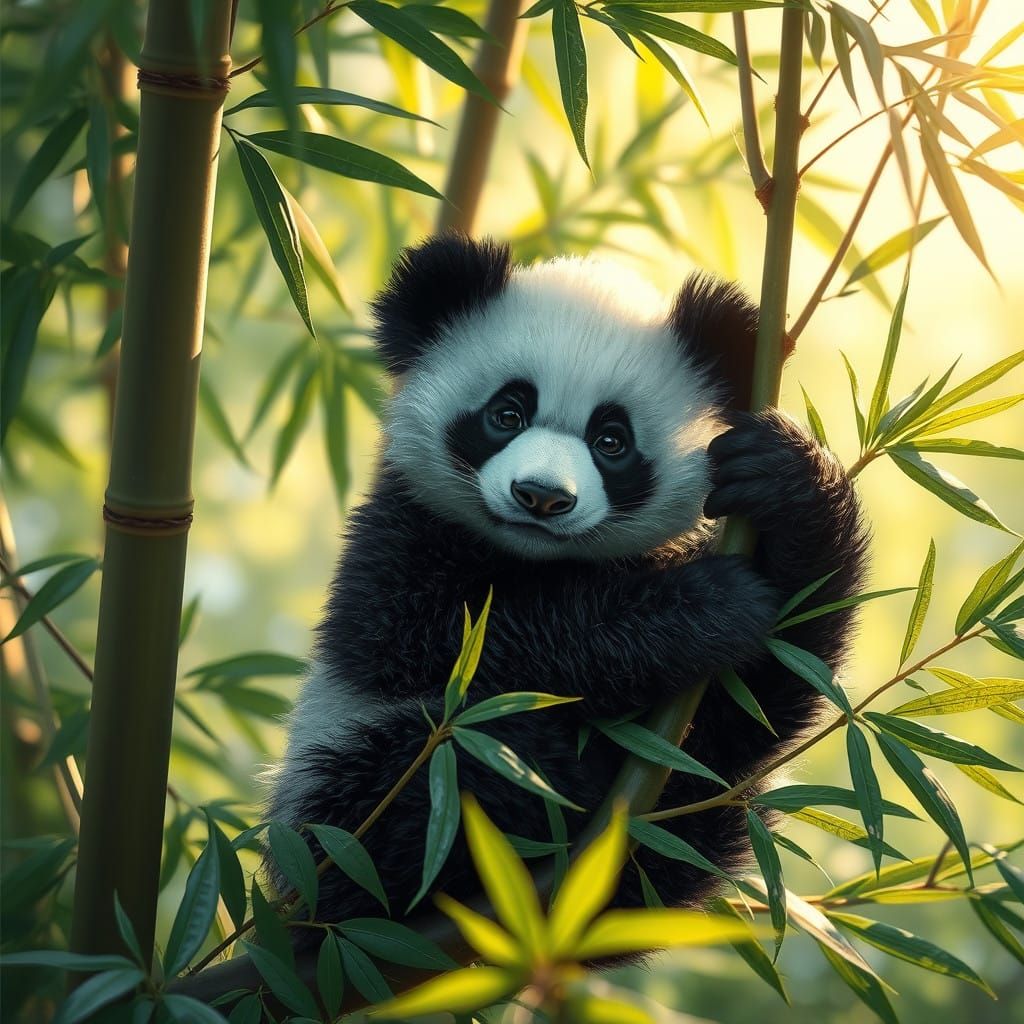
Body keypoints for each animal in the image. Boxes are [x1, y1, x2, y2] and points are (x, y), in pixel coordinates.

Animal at [267, 232, 868, 940]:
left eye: (612, 440)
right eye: (506, 413)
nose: (541, 497)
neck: (541, 561)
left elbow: (774, 682)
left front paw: (789, 481)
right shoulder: (397, 535)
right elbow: (429, 638)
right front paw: (706, 606)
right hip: (332, 803)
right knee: (422, 795)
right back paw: (546, 768)